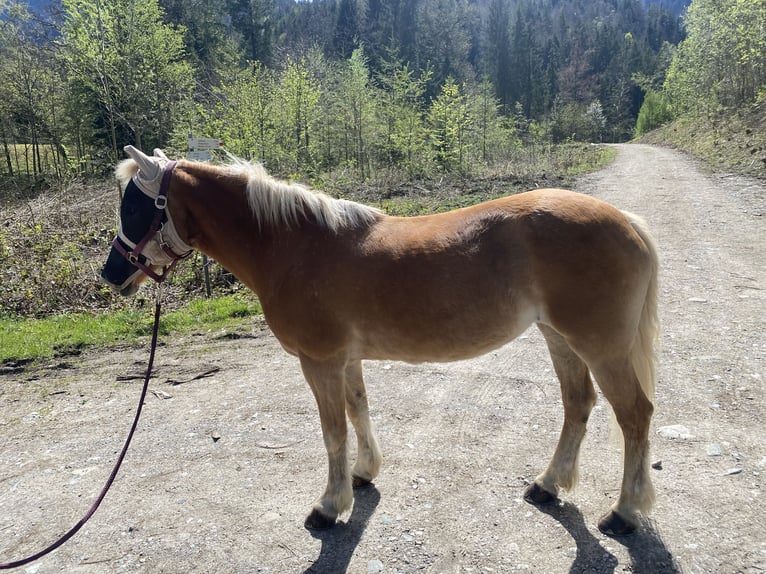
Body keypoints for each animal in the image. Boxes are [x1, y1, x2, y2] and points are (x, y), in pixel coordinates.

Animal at [100, 146, 660, 536]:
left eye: (137, 208)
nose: (111, 275)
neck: (294, 246)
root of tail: (627, 222)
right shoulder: (345, 359)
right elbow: (358, 410)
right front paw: (364, 473)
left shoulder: (319, 361)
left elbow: (332, 431)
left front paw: (329, 506)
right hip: (559, 337)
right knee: (578, 403)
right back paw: (547, 485)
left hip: (600, 346)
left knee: (634, 415)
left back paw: (625, 512)